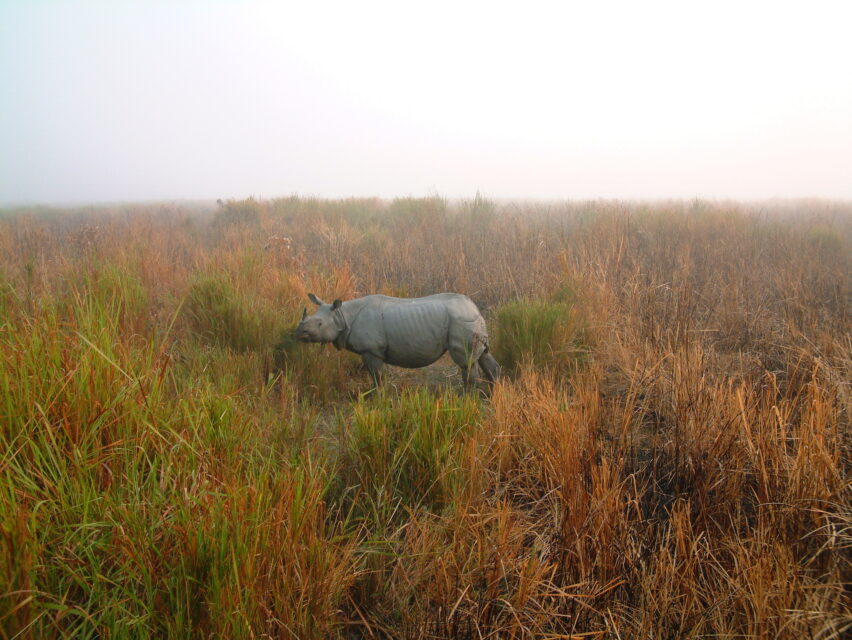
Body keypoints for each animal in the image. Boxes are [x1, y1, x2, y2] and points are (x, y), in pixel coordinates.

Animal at [295, 293, 500, 389]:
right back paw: (492, 394)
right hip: (471, 321)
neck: (341, 315)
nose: (299, 332)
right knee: (483, 356)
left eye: (320, 324)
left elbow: (376, 376)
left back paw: (466, 397)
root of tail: (475, 308)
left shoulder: (372, 350)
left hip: (461, 320)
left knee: (466, 362)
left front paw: (376, 396)